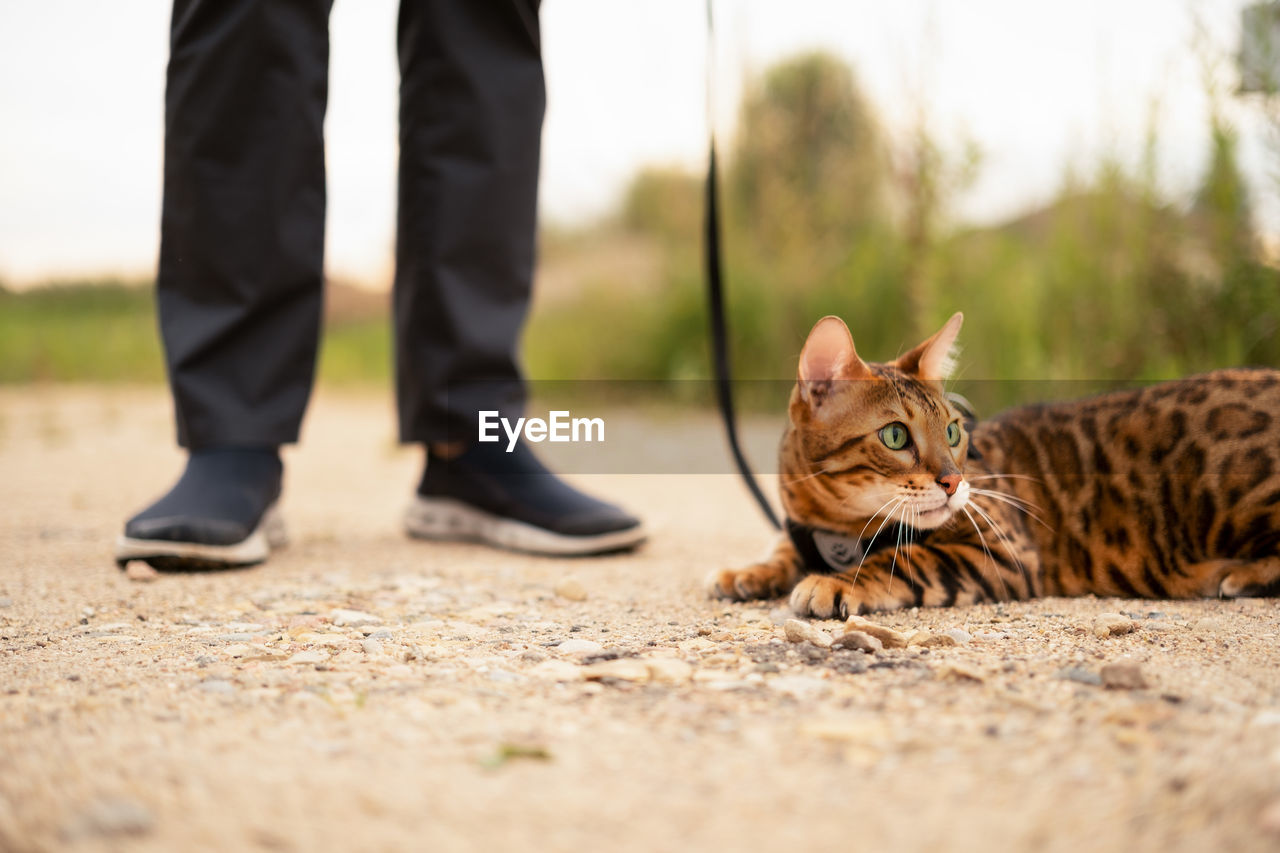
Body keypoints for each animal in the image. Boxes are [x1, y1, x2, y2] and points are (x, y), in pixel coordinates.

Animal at [711, 311, 1280, 612]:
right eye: (895, 435)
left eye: (953, 430)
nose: (953, 481)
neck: (836, 525)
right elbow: (784, 548)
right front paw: (750, 571)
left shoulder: (1005, 552)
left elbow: (903, 559)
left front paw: (833, 581)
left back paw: (1240, 575)